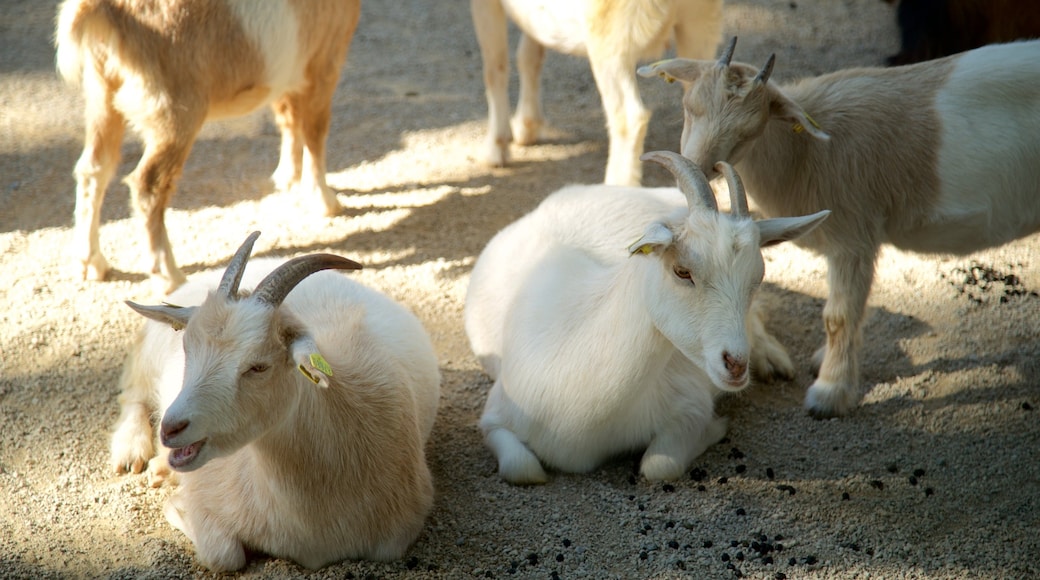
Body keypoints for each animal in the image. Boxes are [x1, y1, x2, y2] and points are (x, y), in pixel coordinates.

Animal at [54, 0, 361, 295]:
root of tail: (104, 9)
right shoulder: (324, 61)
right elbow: (315, 130)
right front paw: (324, 200)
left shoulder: (292, 72)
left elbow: (288, 117)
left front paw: (288, 179)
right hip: (174, 110)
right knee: (148, 184)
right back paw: (169, 277)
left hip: (101, 91)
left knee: (94, 168)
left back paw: (91, 263)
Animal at [110, 232, 443, 573]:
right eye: (187, 348)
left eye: (258, 367)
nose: (171, 429)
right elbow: (224, 555)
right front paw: (176, 502)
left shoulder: (398, 536)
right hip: (150, 354)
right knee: (133, 392)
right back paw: (132, 451)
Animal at [463, 152, 827, 484]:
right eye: (682, 271)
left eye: (757, 277)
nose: (736, 365)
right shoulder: (495, 415)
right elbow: (522, 469)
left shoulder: (689, 403)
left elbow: (659, 465)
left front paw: (715, 428)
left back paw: (773, 359)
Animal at [472, 0, 723, 185]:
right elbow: (529, 54)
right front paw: (527, 127)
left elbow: (495, 67)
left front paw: (496, 149)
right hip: (699, 25)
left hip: (611, 36)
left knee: (629, 117)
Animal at [636, 37, 1040, 417]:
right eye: (689, 107)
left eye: (751, 131)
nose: (698, 165)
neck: (807, 152)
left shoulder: (853, 233)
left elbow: (839, 316)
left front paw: (829, 393)